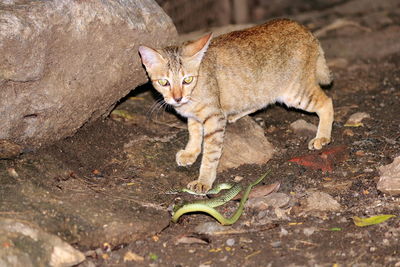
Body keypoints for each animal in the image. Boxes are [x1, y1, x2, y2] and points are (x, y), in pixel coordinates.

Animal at [139, 19, 332, 195]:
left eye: (187, 80)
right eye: (164, 82)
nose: (177, 98)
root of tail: (303, 27)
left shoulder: (214, 118)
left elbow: (210, 153)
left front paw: (204, 180)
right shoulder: (194, 117)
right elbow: (194, 134)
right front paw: (190, 152)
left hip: (295, 93)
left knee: (326, 101)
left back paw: (322, 137)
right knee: (261, 100)